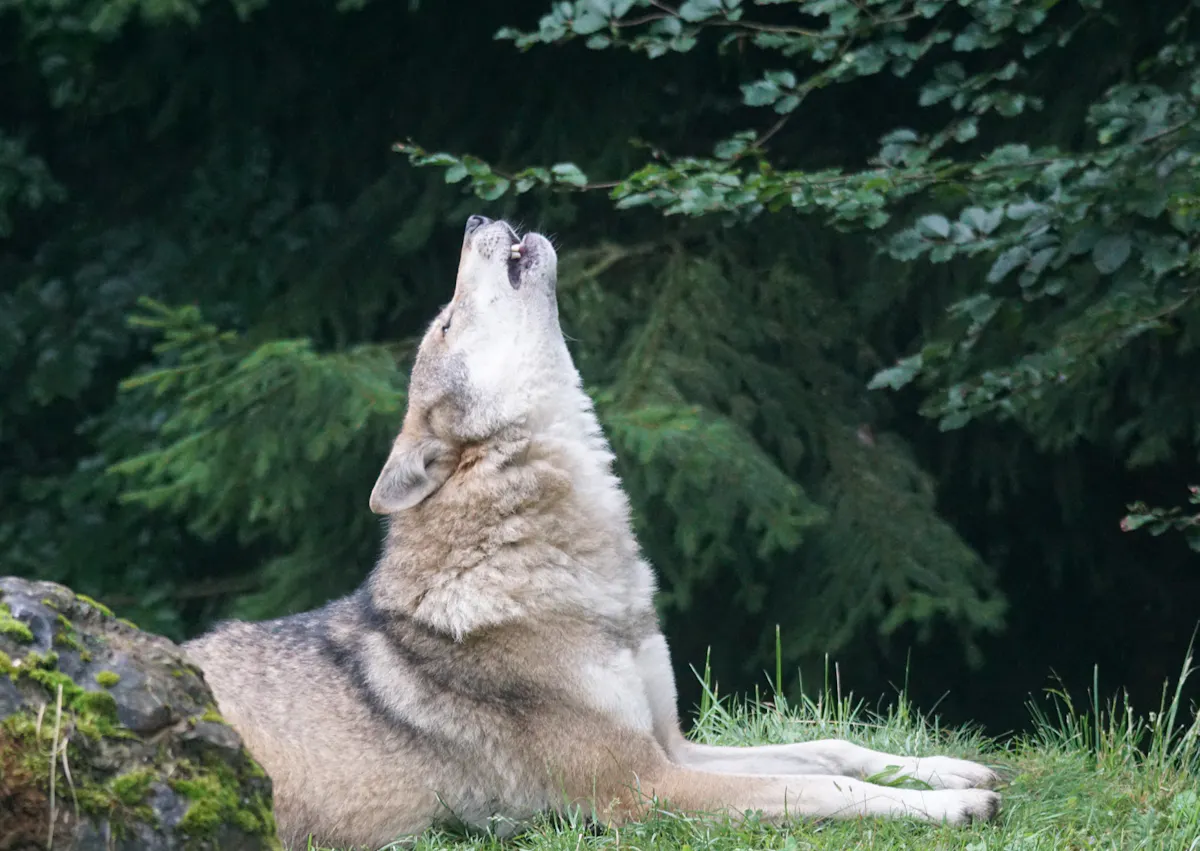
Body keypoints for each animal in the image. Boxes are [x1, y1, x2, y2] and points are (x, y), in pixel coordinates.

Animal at [183, 215, 1001, 850]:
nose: (476, 217)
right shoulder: (640, 788)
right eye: (444, 324)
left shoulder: (673, 745)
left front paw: (949, 768)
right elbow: (819, 787)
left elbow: (828, 747)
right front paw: (953, 806)